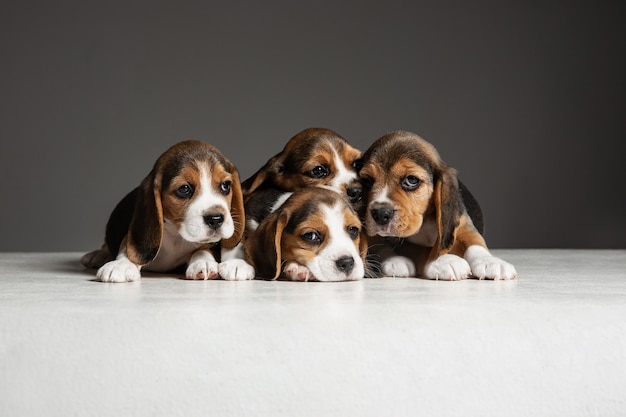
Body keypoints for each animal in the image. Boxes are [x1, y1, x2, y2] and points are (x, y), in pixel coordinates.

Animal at [80, 141, 249, 282]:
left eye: (225, 185)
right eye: (184, 189)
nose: (215, 219)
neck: (176, 234)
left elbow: (202, 249)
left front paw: (203, 262)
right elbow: (128, 248)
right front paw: (121, 265)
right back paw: (97, 255)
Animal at [358, 130, 516, 280]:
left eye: (411, 180)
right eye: (367, 181)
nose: (380, 214)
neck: (426, 219)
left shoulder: (464, 226)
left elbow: (475, 242)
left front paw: (489, 262)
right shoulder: (403, 242)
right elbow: (422, 250)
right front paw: (445, 261)